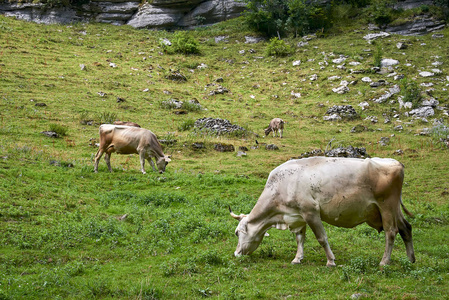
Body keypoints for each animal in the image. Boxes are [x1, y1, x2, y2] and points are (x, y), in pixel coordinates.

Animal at [229, 156, 414, 266]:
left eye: (237, 233)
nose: (236, 253)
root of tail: (396, 163)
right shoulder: (298, 217)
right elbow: (299, 239)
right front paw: (297, 258)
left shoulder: (311, 213)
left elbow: (321, 238)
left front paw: (330, 260)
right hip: (394, 209)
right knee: (406, 228)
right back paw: (410, 259)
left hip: (387, 207)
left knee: (391, 232)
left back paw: (384, 262)